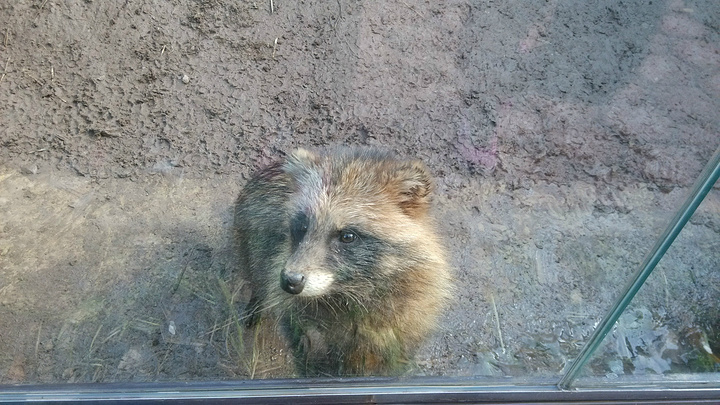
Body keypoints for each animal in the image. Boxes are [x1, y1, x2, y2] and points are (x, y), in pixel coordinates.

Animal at [235, 148, 450, 376]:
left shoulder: (402, 333)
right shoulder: (304, 330)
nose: (290, 280)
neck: (350, 294)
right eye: (302, 227)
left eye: (347, 236)